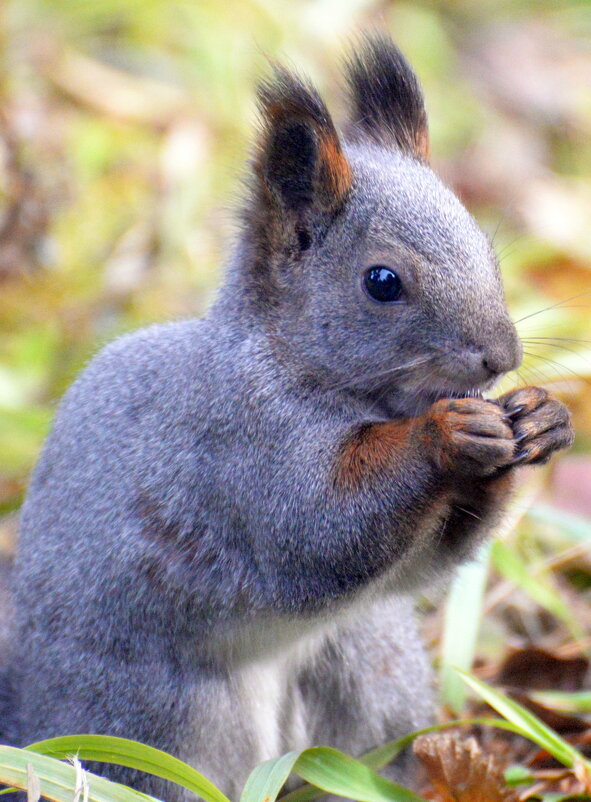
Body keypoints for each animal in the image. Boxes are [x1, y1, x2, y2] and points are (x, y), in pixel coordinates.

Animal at [0, 32, 572, 800]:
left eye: (487, 248)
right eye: (382, 282)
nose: (501, 356)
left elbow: (424, 563)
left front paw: (540, 417)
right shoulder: (241, 443)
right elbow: (321, 526)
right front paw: (443, 436)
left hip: (369, 664)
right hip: (154, 716)